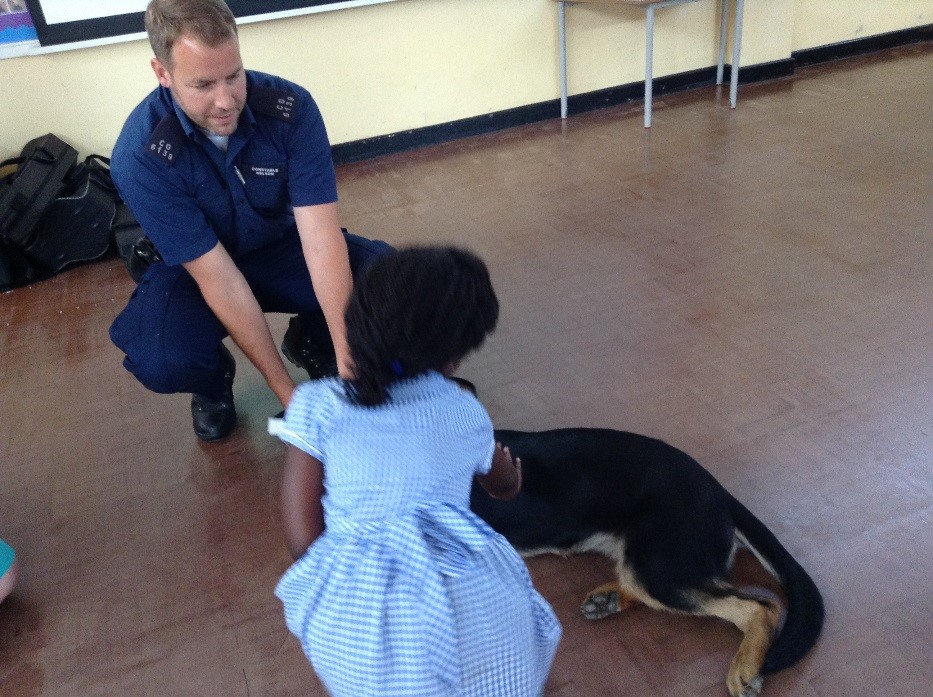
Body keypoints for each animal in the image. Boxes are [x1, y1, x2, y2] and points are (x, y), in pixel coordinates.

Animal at [470, 424, 828, 696]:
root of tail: (718, 491)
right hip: (646, 562)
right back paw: (609, 599)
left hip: (656, 568)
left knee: (759, 607)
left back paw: (745, 667)